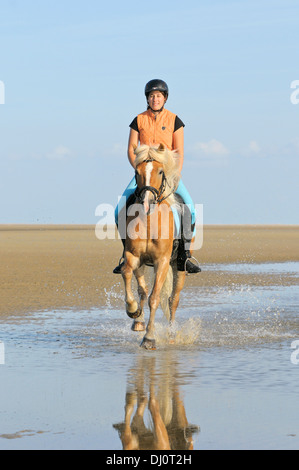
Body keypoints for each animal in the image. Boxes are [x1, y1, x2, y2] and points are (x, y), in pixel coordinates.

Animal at [122, 143, 188, 348]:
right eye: (137, 172)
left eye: (160, 171)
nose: (147, 202)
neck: (150, 221)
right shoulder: (133, 256)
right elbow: (127, 274)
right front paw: (133, 310)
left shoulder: (162, 261)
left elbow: (155, 298)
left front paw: (149, 338)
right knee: (142, 290)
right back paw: (138, 322)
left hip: (178, 266)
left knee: (173, 300)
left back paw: (172, 333)